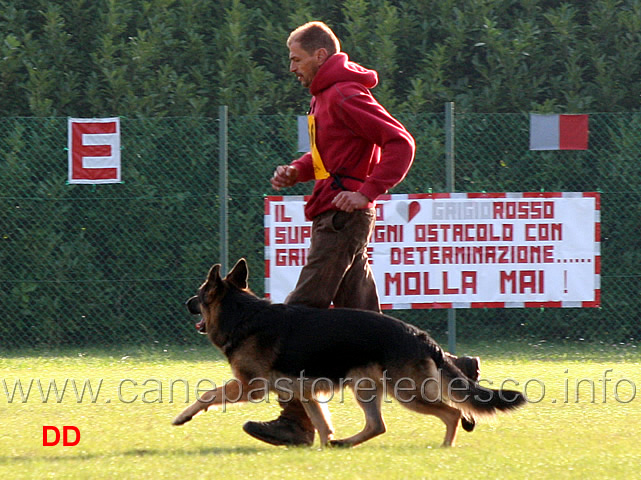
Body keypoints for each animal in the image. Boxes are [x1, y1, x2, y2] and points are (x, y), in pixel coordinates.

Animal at [175, 258, 524, 446]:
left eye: (199, 295)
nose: (186, 302)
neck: (242, 315)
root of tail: (421, 337)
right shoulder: (307, 393)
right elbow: (321, 423)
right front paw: (324, 447)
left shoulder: (250, 386)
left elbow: (207, 394)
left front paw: (182, 416)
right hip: (367, 389)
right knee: (377, 425)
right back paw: (342, 445)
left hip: (405, 394)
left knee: (451, 413)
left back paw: (445, 445)